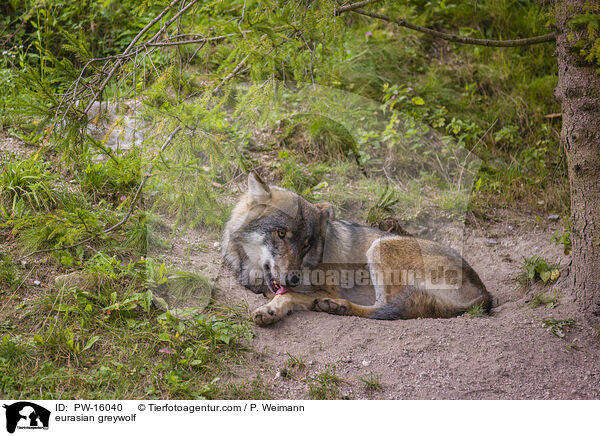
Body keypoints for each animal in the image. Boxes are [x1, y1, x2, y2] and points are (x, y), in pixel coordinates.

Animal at [223, 172, 490, 326]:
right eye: (281, 233)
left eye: (306, 244)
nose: (293, 279)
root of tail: (484, 293)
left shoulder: (326, 288)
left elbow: (287, 296)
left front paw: (271, 309)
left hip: (380, 247)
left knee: (389, 308)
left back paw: (337, 306)